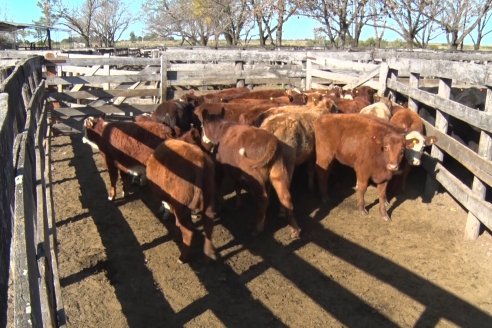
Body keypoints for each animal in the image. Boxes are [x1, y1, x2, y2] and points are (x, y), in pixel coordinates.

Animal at [199, 109, 300, 237]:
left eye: (201, 126)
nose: (202, 141)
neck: (221, 129)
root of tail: (272, 140)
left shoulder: (222, 168)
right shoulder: (236, 172)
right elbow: (237, 187)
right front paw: (238, 204)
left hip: (255, 177)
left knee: (263, 199)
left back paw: (258, 228)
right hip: (278, 171)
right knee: (285, 197)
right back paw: (295, 230)